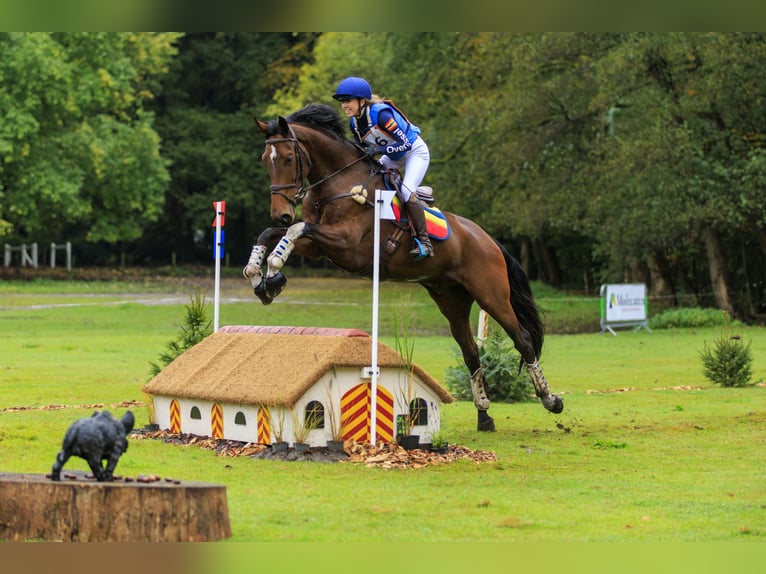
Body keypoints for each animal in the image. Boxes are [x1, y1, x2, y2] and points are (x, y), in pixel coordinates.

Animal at [244, 103, 564, 432]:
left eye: (288, 158)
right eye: (265, 160)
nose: (281, 213)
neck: (337, 185)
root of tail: (487, 239)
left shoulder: (347, 245)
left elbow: (295, 230)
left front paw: (274, 272)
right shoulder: (320, 247)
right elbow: (272, 234)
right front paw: (260, 279)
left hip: (492, 296)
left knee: (523, 340)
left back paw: (550, 400)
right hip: (451, 300)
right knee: (470, 352)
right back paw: (484, 415)